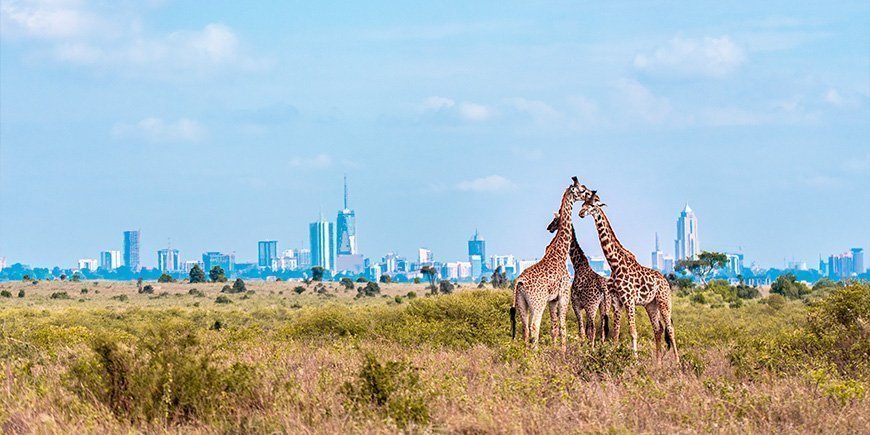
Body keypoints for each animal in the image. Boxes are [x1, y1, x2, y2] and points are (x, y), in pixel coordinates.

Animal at [510, 177, 594, 351]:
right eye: (582, 189)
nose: (592, 194)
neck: (560, 253)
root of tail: (519, 282)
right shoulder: (563, 295)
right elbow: (563, 327)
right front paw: (562, 353)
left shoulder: (552, 300)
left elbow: (553, 328)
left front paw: (555, 351)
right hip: (537, 302)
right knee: (534, 327)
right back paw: (534, 355)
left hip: (522, 303)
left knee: (525, 328)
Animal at [545, 212, 612, 347]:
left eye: (555, 220)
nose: (549, 228)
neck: (578, 265)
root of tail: (603, 288)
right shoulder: (584, 306)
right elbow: (586, 330)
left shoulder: (576, 304)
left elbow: (582, 330)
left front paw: (583, 346)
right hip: (605, 306)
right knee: (602, 328)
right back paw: (601, 347)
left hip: (592, 306)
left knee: (594, 328)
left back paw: (592, 348)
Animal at [577, 197, 679, 363]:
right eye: (582, 204)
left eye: (592, 205)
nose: (580, 213)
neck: (614, 264)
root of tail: (665, 281)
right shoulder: (616, 301)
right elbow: (616, 332)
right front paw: (612, 356)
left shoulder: (629, 299)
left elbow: (633, 331)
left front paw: (635, 360)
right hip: (651, 304)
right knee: (658, 329)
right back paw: (658, 363)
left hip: (664, 301)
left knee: (670, 329)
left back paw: (677, 361)